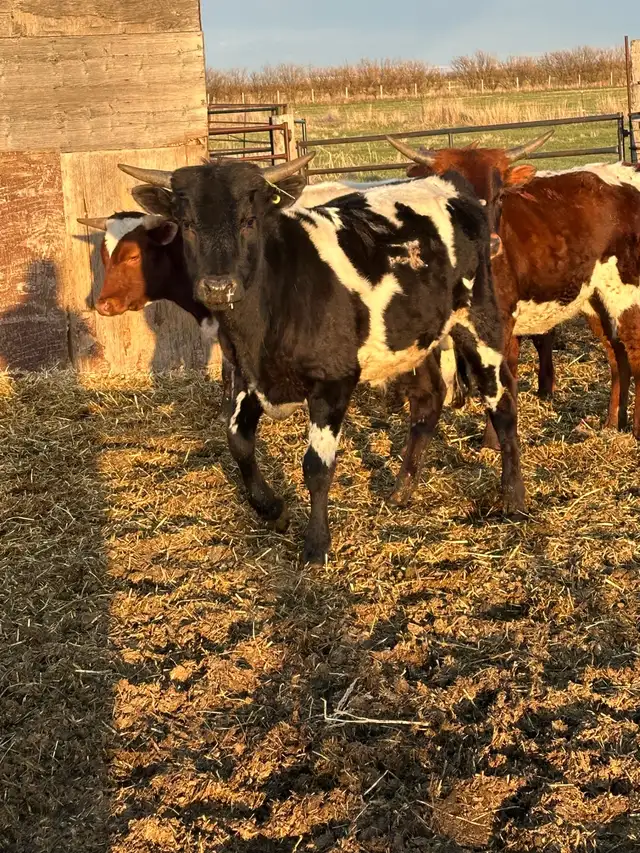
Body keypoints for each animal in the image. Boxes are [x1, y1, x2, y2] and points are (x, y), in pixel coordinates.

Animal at [115, 154, 525, 565]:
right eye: (187, 225)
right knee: (427, 402)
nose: (218, 287)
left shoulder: (333, 381)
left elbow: (316, 465)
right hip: (410, 339)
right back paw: (401, 490)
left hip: (479, 322)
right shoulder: (247, 377)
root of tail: (449, 185)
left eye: (249, 220)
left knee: (501, 402)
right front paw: (271, 508)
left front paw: (316, 543)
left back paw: (513, 497)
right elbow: (238, 443)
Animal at [387, 137, 640, 442]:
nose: (491, 244)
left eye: (498, 196)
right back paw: (613, 423)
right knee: (617, 356)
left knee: (635, 352)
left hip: (628, 293)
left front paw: (491, 441)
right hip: (596, 299)